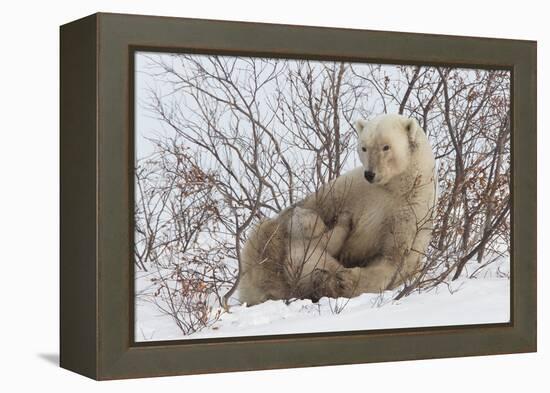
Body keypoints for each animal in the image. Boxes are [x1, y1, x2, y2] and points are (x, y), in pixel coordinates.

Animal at [235, 112, 438, 304]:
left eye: (386, 147)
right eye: (364, 147)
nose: (370, 173)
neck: (395, 186)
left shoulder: (409, 211)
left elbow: (392, 258)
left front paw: (345, 280)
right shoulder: (351, 189)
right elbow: (315, 205)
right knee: (266, 237)